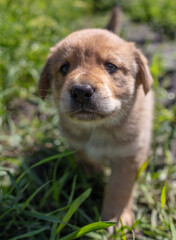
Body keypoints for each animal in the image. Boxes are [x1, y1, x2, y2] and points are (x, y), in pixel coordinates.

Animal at [38, 7, 153, 229]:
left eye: (111, 66)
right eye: (64, 68)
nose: (81, 91)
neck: (98, 128)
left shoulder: (129, 156)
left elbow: (119, 189)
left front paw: (115, 219)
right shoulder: (77, 144)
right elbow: (86, 158)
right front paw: (94, 175)